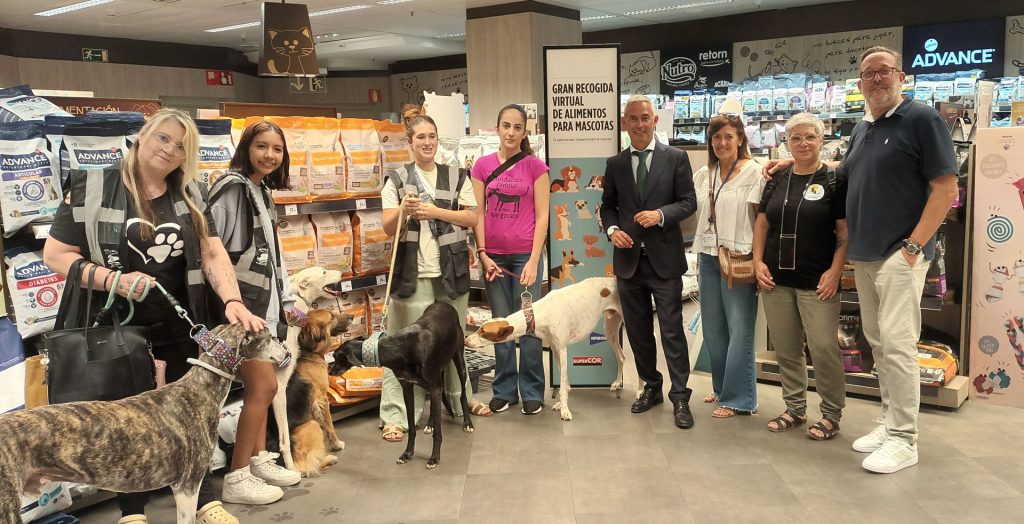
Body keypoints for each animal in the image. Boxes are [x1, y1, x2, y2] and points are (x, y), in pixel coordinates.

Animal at [285, 308, 353, 477]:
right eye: (332, 317)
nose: (352, 316)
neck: (310, 354)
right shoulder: (322, 401)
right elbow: (330, 427)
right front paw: (336, 444)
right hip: (312, 424)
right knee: (306, 466)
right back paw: (329, 458)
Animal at [337, 302, 472, 469]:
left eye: (335, 357)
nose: (329, 370)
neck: (399, 348)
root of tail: (444, 303)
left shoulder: (434, 387)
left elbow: (438, 433)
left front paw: (434, 458)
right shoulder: (407, 388)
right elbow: (412, 427)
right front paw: (407, 454)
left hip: (459, 361)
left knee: (462, 394)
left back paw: (467, 423)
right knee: (435, 405)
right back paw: (430, 424)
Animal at [465, 277, 632, 421]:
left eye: (483, 332)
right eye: (479, 328)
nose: (465, 340)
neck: (539, 314)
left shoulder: (563, 349)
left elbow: (563, 385)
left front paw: (565, 410)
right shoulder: (555, 349)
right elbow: (565, 383)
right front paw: (561, 404)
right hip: (609, 329)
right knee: (621, 356)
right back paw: (617, 383)